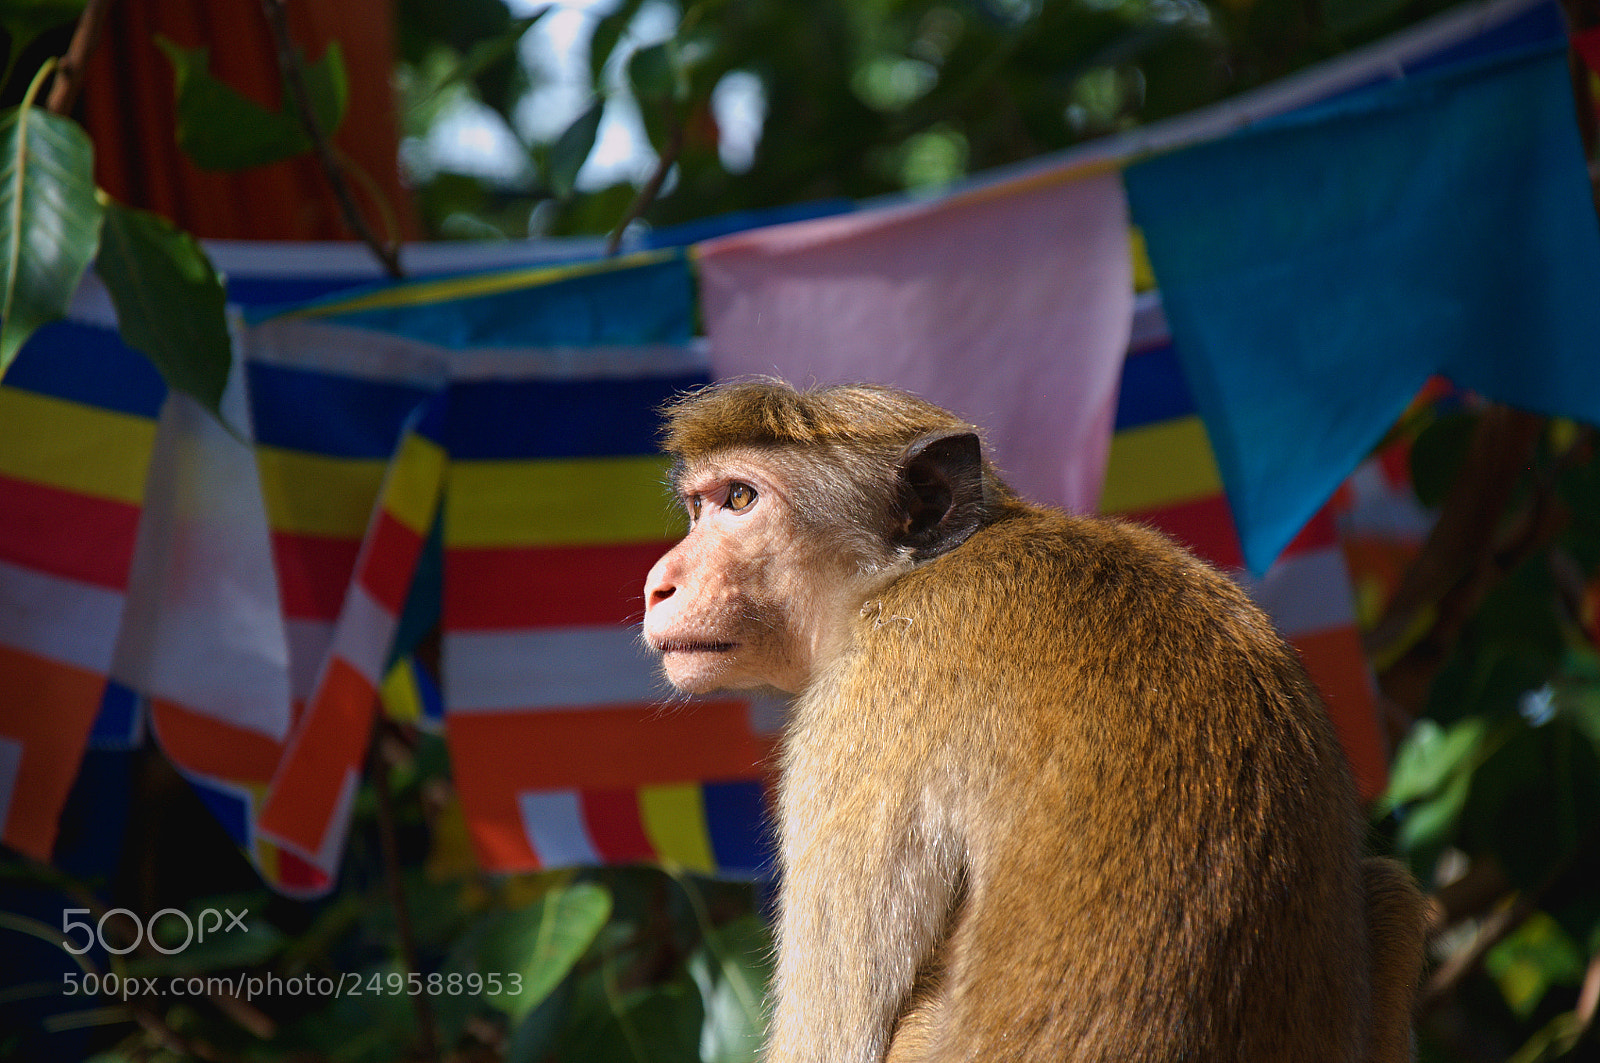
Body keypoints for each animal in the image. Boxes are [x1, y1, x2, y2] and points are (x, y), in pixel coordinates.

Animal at [640, 379, 1427, 1063]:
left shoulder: (861, 708)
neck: (908, 576)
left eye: (739, 499)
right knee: (1387, 890)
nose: (659, 583)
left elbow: (832, 1042)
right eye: (699, 506)